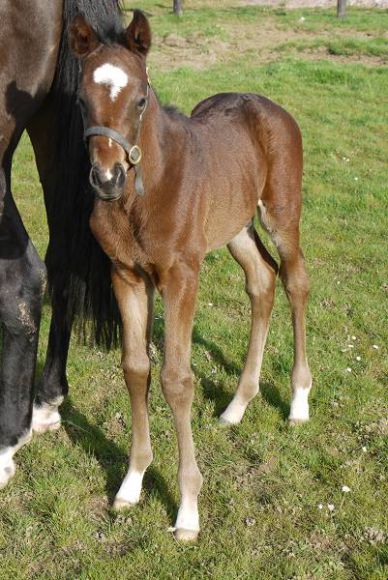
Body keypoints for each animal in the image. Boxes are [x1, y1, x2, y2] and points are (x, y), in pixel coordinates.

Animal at [69, 11, 312, 540]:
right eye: (80, 99)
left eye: (141, 98)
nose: (107, 178)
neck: (144, 193)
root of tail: (267, 105)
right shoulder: (126, 275)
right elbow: (136, 368)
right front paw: (132, 483)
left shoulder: (182, 276)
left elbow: (177, 379)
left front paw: (187, 510)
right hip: (235, 227)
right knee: (261, 281)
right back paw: (237, 406)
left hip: (281, 213)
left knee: (294, 281)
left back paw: (299, 401)